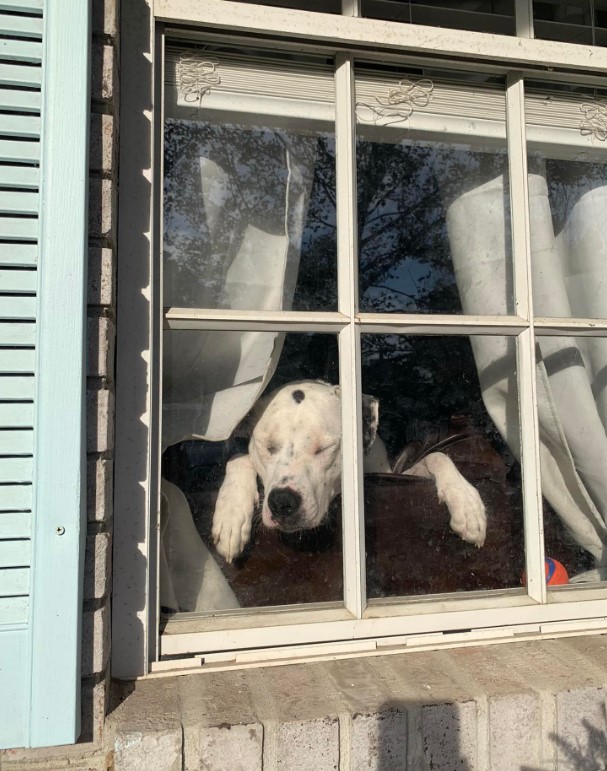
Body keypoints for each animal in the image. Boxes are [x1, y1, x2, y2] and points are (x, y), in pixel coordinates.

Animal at [211, 382, 486, 564]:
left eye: (324, 448)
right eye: (267, 446)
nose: (282, 502)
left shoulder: (398, 472)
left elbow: (437, 456)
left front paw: (466, 504)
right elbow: (238, 459)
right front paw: (231, 513)